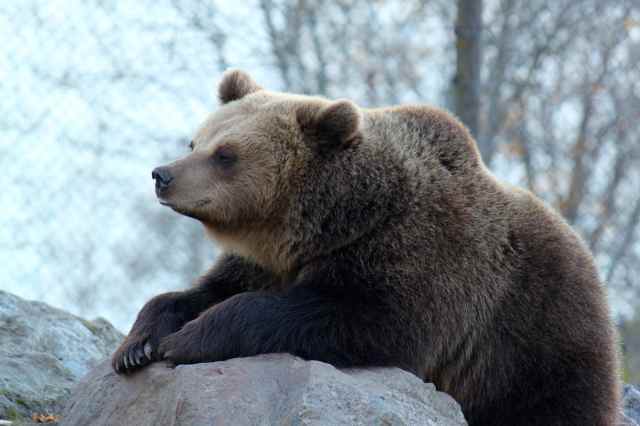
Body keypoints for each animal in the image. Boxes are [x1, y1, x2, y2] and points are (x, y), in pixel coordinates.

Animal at [112, 70, 620, 426]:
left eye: (226, 154)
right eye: (195, 141)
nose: (163, 174)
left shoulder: (422, 256)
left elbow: (361, 320)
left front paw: (187, 339)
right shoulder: (263, 262)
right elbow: (197, 292)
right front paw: (138, 344)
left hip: (533, 340)